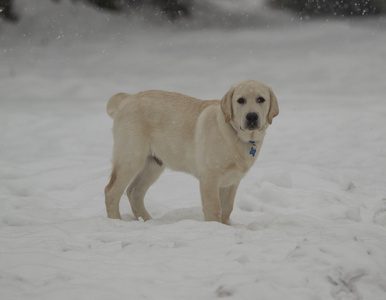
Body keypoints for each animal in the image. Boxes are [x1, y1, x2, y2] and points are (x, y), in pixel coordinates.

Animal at [105, 79, 278, 225]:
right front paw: (214, 227)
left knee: (134, 191)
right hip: (131, 158)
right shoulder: (210, 177)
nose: (252, 117)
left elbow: (227, 209)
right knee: (111, 191)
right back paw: (116, 221)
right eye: (240, 100)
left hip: (153, 164)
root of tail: (128, 98)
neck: (237, 135)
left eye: (261, 99)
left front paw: (226, 227)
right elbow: (214, 209)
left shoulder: (232, 181)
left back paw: (148, 221)